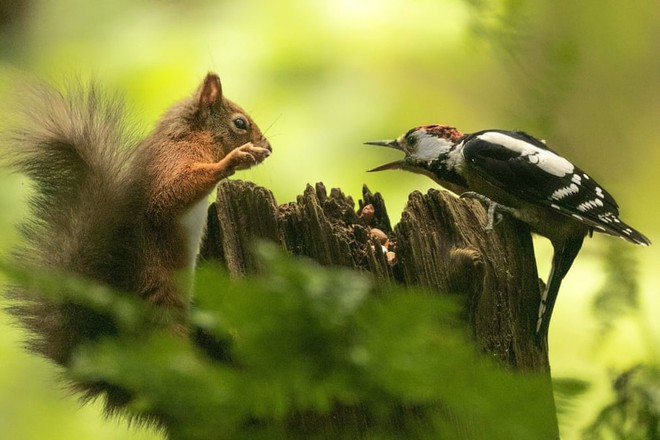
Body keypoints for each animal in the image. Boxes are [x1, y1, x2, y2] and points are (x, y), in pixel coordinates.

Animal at [2, 73, 270, 412]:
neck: (191, 135)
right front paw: (232, 161)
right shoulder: (172, 162)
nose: (268, 147)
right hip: (161, 317)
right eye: (240, 123)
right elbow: (172, 193)